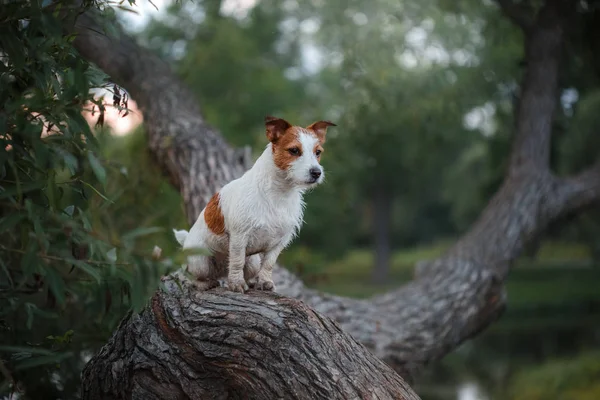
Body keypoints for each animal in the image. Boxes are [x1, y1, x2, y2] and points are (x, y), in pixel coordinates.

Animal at [171, 115, 336, 294]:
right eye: (294, 151)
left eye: (318, 152)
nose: (316, 172)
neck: (279, 193)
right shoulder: (239, 237)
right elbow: (237, 261)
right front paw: (236, 284)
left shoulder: (279, 242)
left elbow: (269, 264)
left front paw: (265, 282)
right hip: (200, 261)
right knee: (194, 275)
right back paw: (204, 283)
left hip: (253, 262)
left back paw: (250, 282)